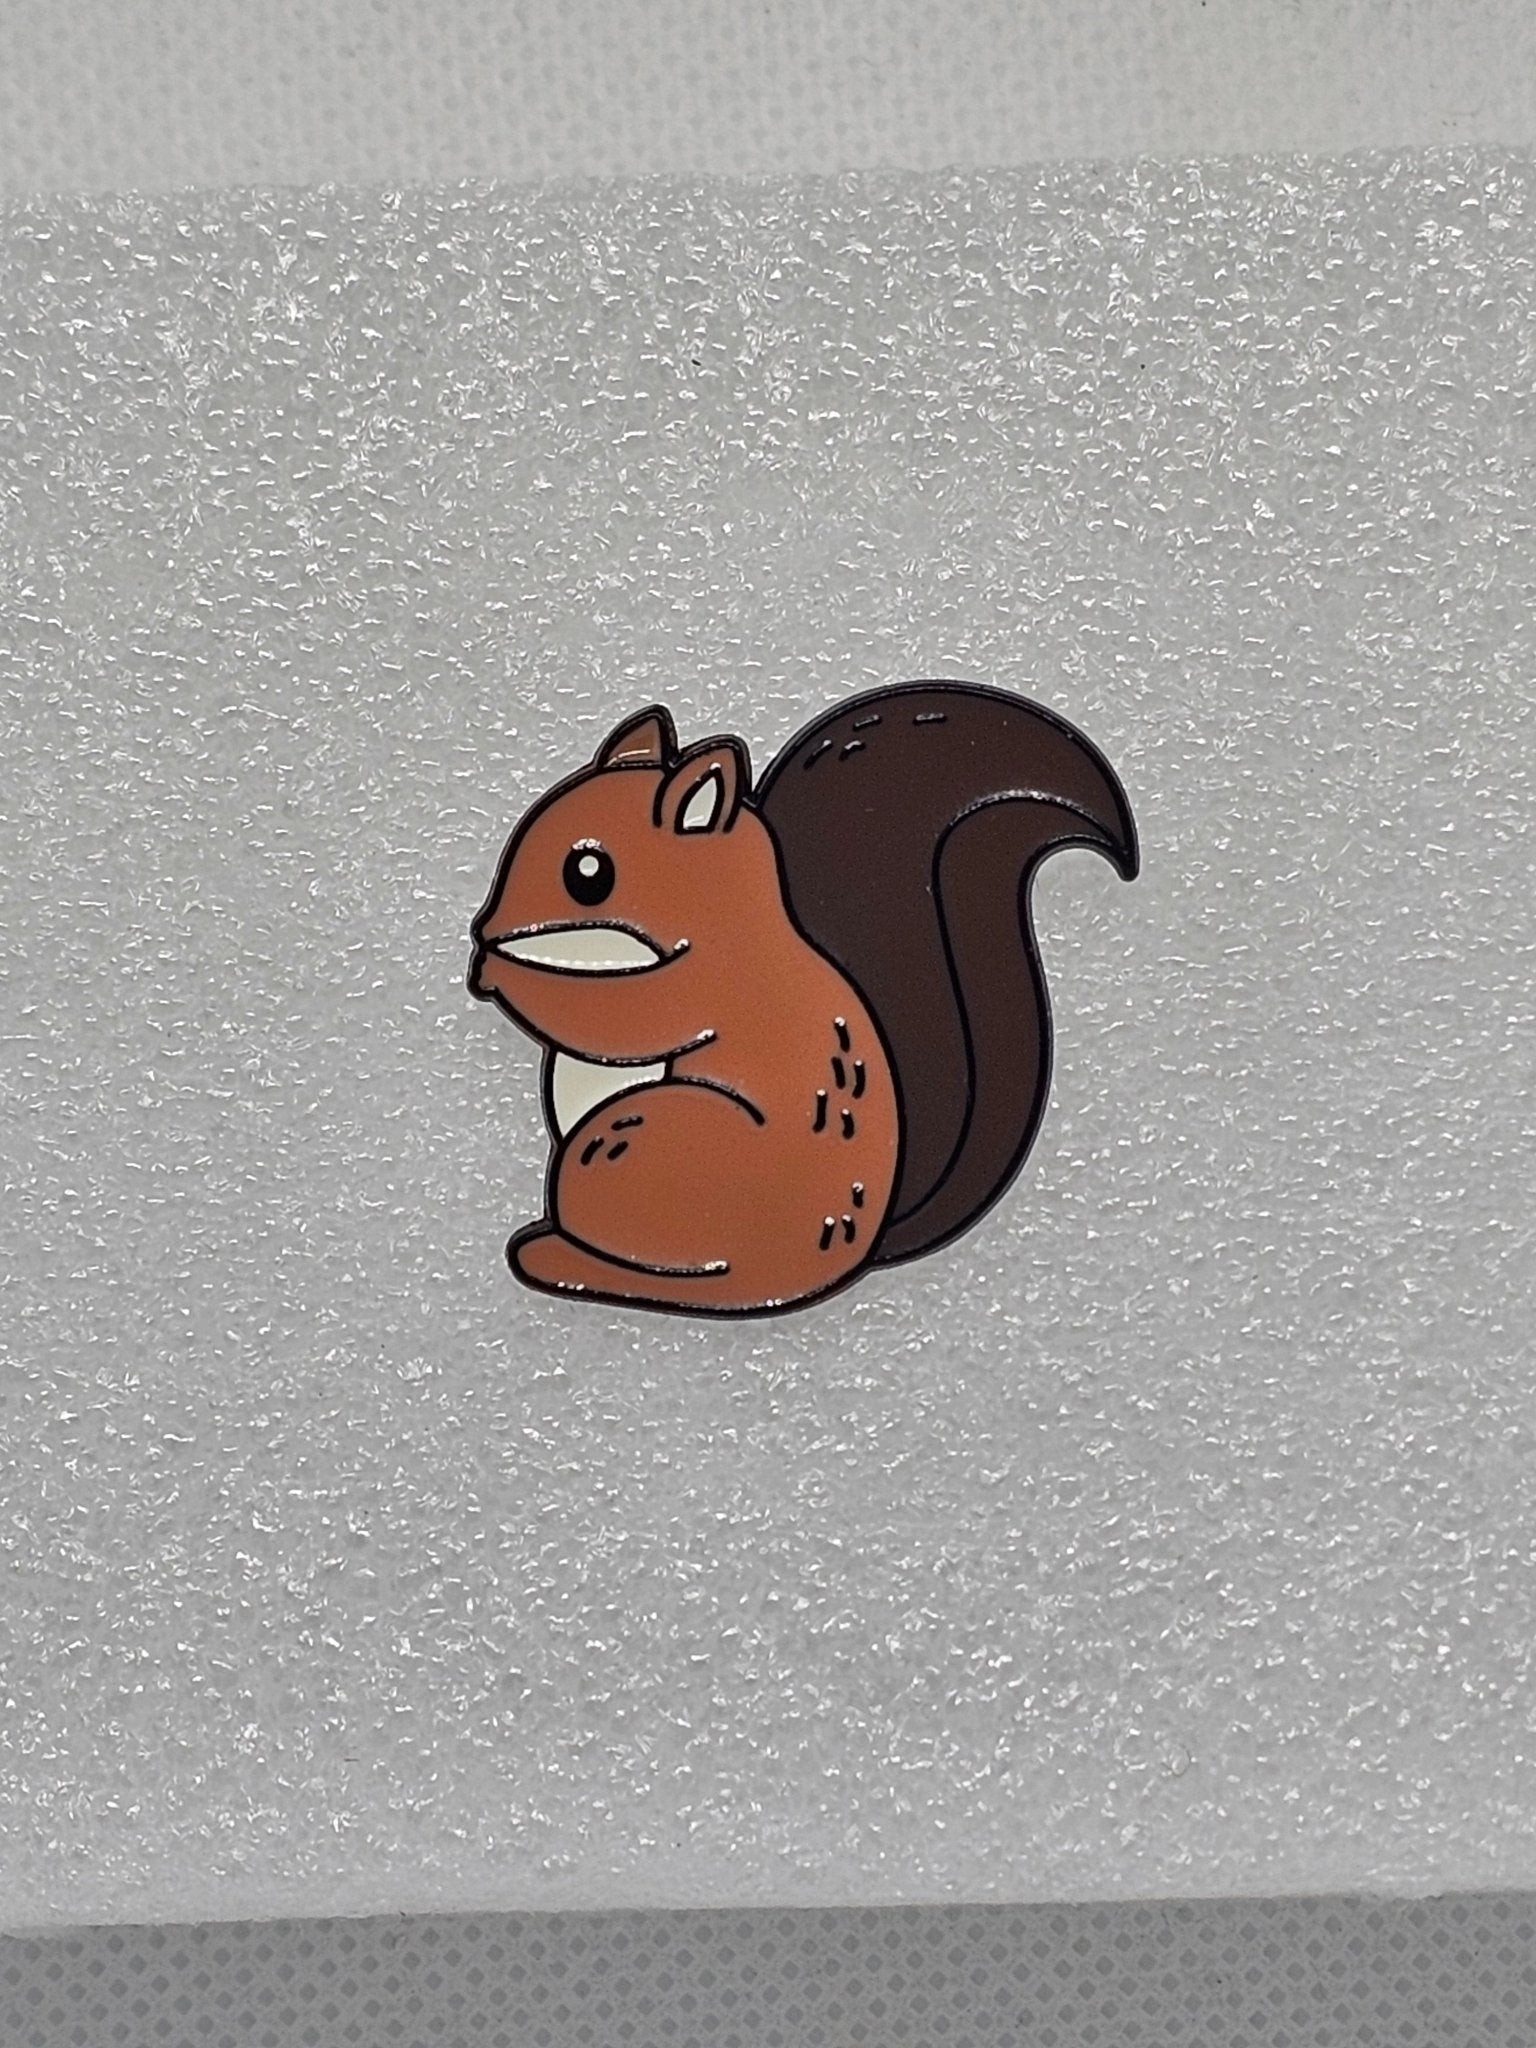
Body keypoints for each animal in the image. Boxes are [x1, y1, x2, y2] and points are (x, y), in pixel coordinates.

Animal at [468, 681, 1137, 1317]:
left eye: (588, 873)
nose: (485, 927)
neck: (727, 910)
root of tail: (812, 1269)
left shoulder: (714, 983)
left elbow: (625, 1017)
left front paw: (503, 972)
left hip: (629, 1142)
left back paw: (566, 1257)